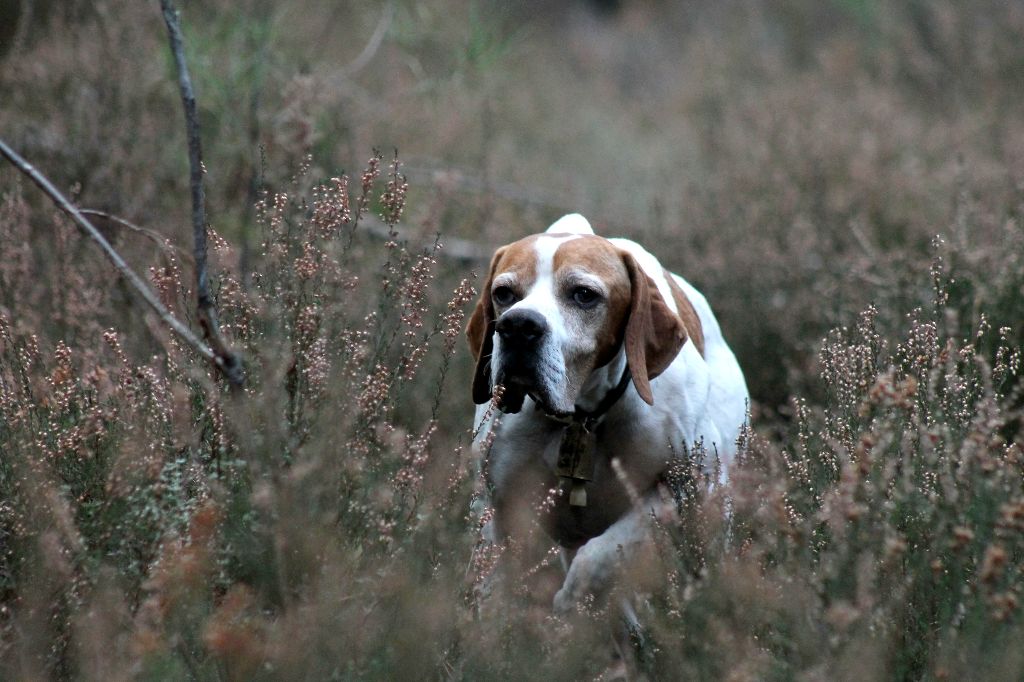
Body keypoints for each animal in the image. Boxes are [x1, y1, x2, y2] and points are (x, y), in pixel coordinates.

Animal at [468, 215, 749, 618]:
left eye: (584, 294)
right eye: (503, 293)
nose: (518, 326)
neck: (582, 418)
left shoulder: (679, 492)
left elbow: (598, 558)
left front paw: (571, 603)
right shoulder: (498, 511)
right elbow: (493, 594)